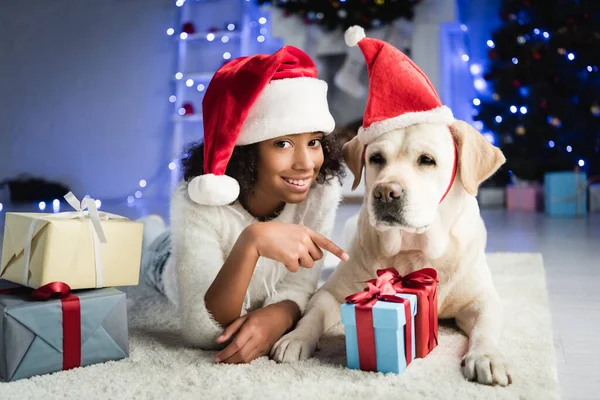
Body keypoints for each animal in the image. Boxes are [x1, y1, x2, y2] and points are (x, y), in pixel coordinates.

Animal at [272, 120, 510, 386]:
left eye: (427, 160)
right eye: (376, 158)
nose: (385, 192)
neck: (412, 249)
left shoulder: (482, 299)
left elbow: (485, 327)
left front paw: (486, 356)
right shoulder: (330, 294)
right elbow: (313, 315)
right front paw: (296, 337)